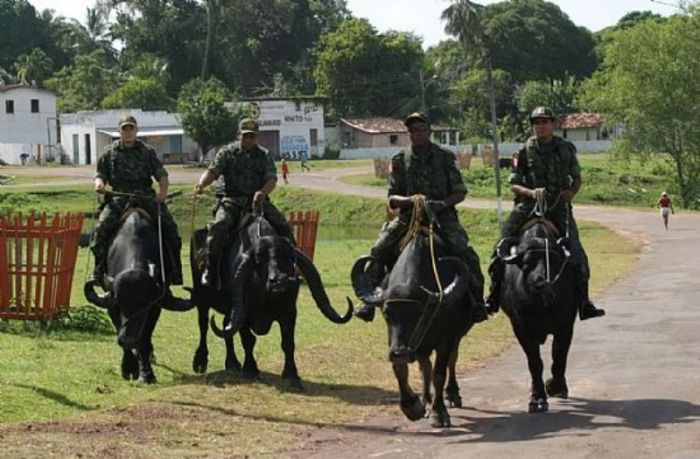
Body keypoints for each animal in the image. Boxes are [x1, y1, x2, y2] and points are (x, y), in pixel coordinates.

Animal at [86, 198, 193, 384]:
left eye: (144, 307)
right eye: (121, 304)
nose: (128, 338)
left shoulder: (156, 306)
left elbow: (144, 338)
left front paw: (146, 373)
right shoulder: (110, 302)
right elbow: (119, 328)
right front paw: (129, 367)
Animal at [189, 212, 352, 388]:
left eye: (290, 257)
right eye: (259, 259)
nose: (280, 281)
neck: (265, 296)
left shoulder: (289, 312)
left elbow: (288, 343)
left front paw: (291, 374)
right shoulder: (243, 313)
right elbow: (248, 340)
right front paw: (251, 369)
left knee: (226, 325)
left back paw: (232, 362)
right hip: (202, 299)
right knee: (204, 325)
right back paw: (201, 361)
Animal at [350, 232, 476, 430]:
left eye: (419, 313)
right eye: (386, 313)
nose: (400, 352)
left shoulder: (445, 339)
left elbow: (439, 374)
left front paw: (439, 412)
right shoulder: (394, 340)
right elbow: (400, 370)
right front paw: (412, 406)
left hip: (456, 336)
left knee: (452, 360)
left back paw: (452, 395)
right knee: (425, 368)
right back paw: (425, 400)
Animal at [494, 219, 576, 414]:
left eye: (554, 263)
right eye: (526, 264)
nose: (542, 283)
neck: (541, 305)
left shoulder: (566, 325)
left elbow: (559, 357)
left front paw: (554, 386)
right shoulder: (520, 328)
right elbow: (535, 363)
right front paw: (538, 398)